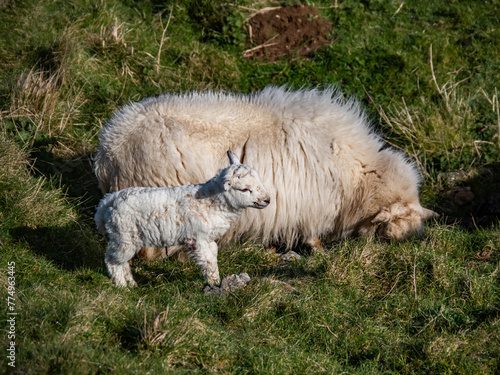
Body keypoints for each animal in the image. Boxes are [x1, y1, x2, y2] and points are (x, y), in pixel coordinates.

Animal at [94, 86, 438, 256]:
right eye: (392, 226)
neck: (358, 175)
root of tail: (108, 153)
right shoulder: (308, 207)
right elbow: (311, 236)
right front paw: (317, 250)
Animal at [95, 151, 272, 286]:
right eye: (245, 189)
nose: (267, 200)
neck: (212, 202)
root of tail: (106, 203)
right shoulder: (196, 238)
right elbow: (208, 261)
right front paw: (214, 283)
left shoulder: (208, 238)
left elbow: (213, 258)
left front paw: (216, 280)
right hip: (123, 237)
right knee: (112, 261)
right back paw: (122, 286)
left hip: (128, 239)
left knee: (123, 262)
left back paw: (131, 283)